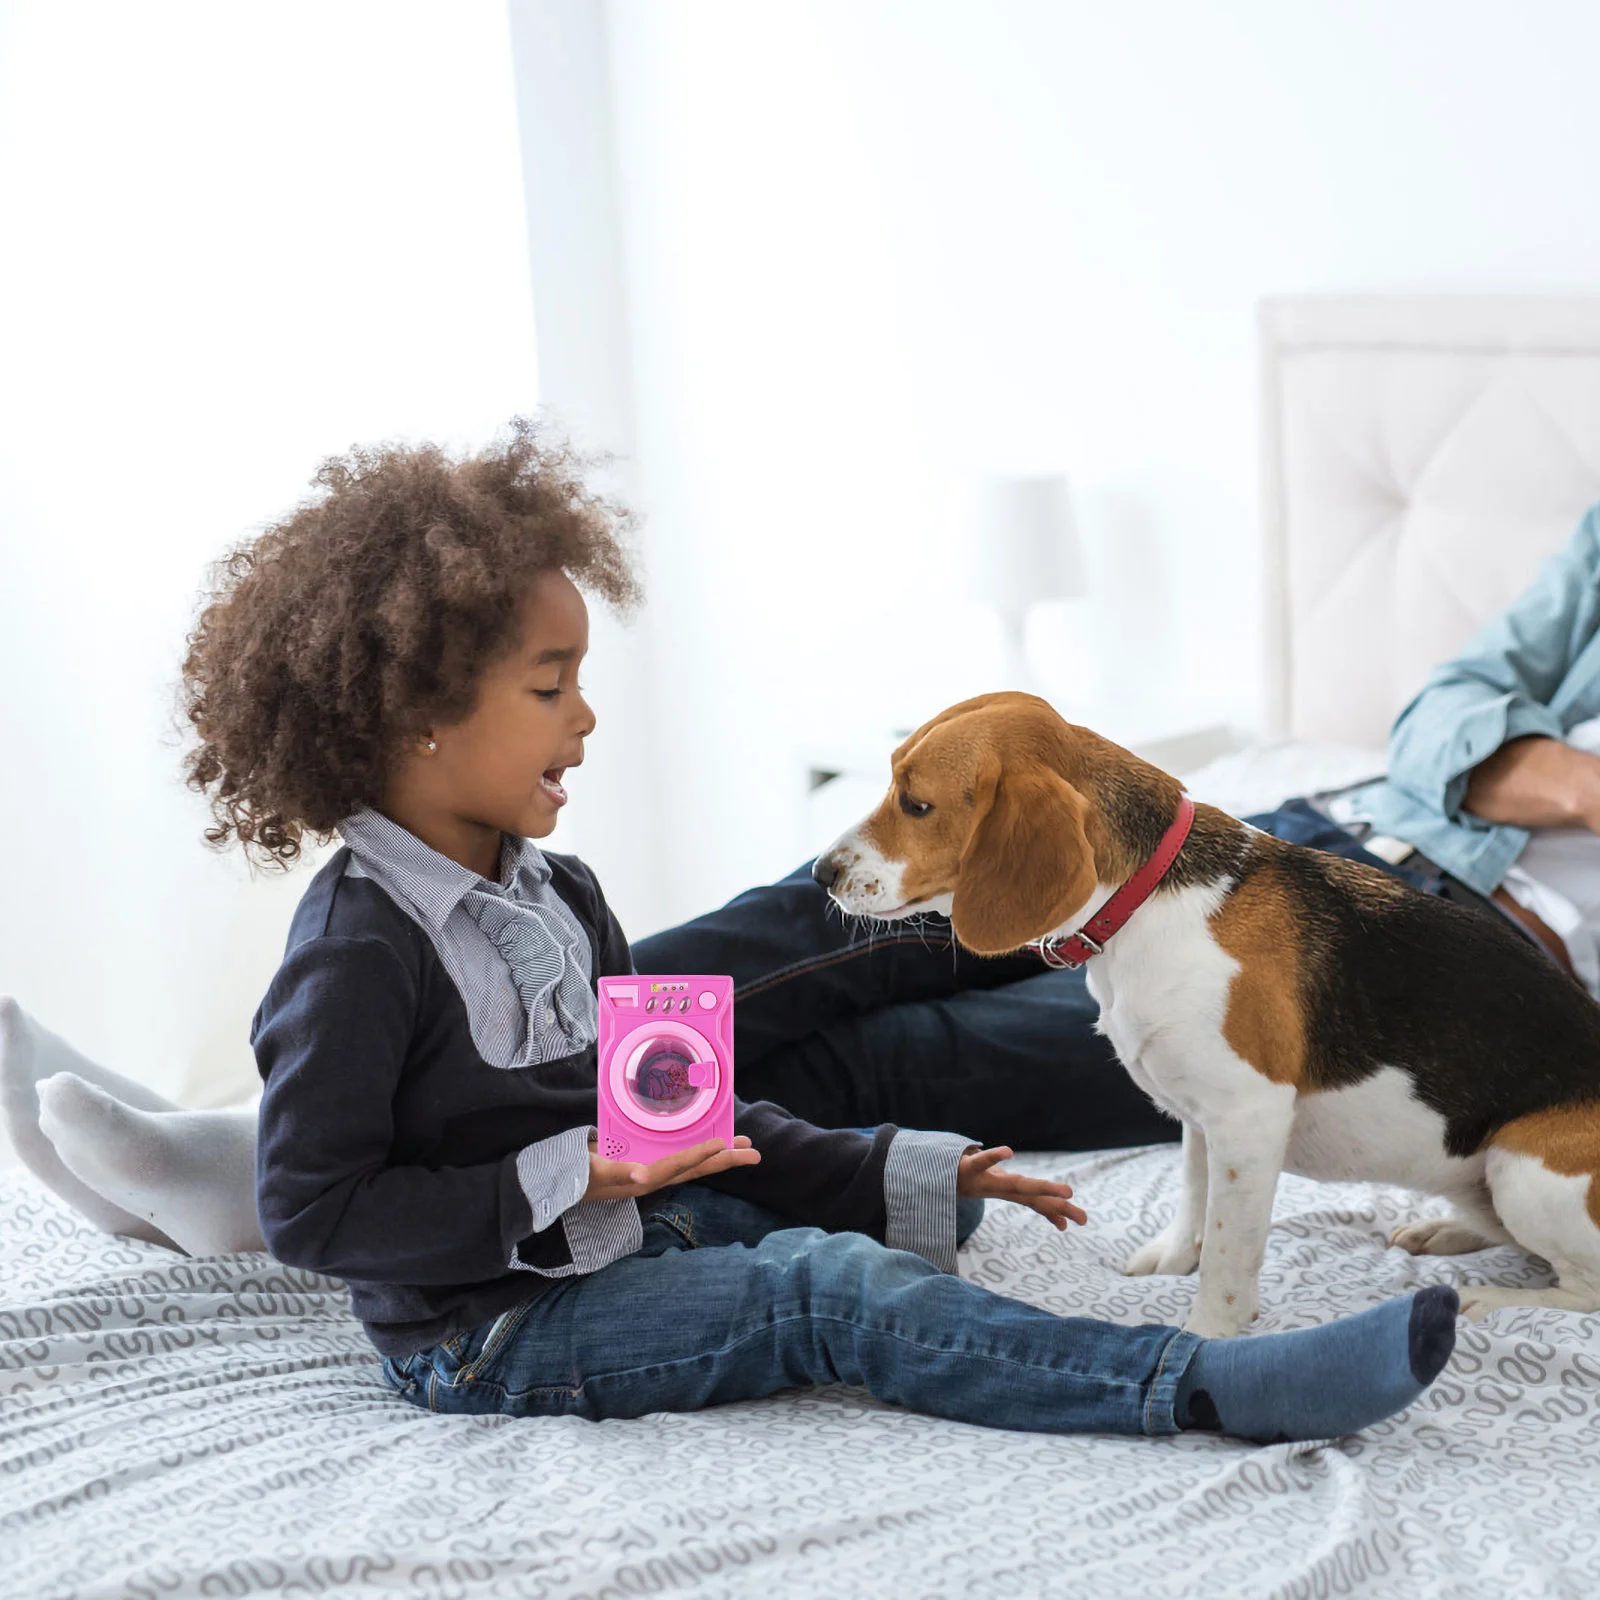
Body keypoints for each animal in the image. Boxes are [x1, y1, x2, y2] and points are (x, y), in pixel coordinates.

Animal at [812, 694, 1600, 1331]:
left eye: (916, 804)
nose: (821, 872)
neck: (1143, 899)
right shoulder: (1197, 1111)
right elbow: (1194, 1191)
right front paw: (1174, 1255)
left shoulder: (1248, 1120)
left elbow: (1229, 1250)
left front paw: (1208, 1336)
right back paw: (1447, 1234)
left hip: (1523, 1166)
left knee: (1582, 1289)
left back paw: (1481, 1297)